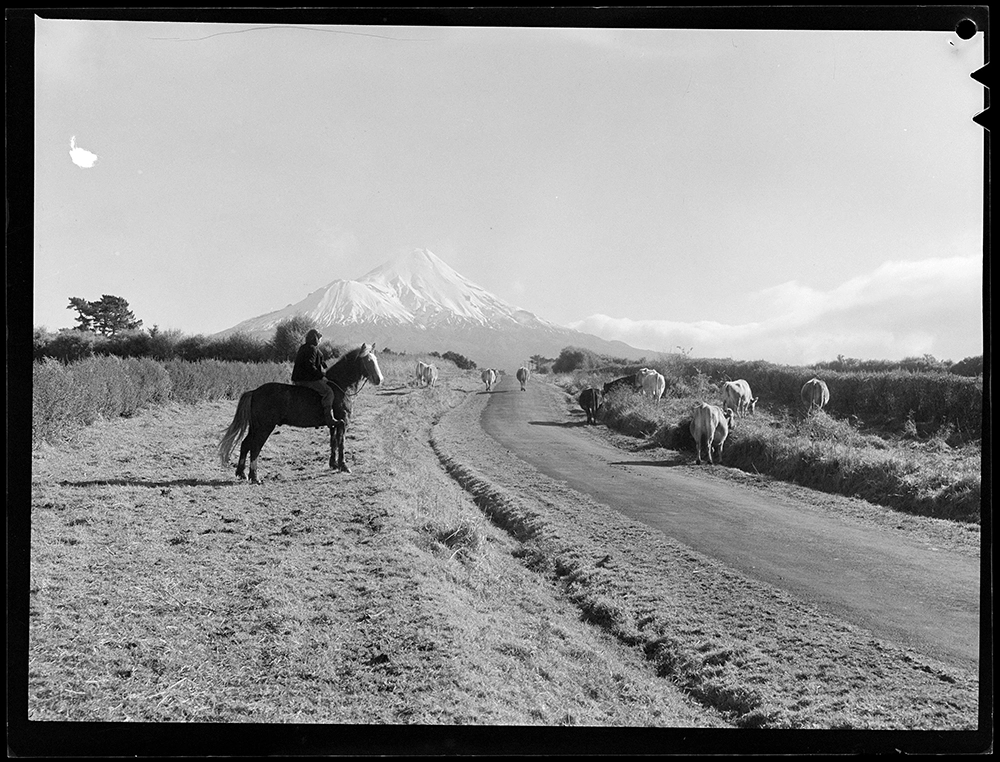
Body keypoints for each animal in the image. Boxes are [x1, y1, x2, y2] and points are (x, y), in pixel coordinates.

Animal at [219, 342, 382, 480]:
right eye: (368, 360)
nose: (379, 379)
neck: (340, 385)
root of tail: (254, 392)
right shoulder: (343, 422)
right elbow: (341, 443)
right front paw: (344, 466)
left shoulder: (334, 424)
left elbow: (334, 442)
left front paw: (334, 464)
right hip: (264, 427)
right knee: (255, 448)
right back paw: (254, 477)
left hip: (255, 427)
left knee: (245, 444)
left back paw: (241, 473)